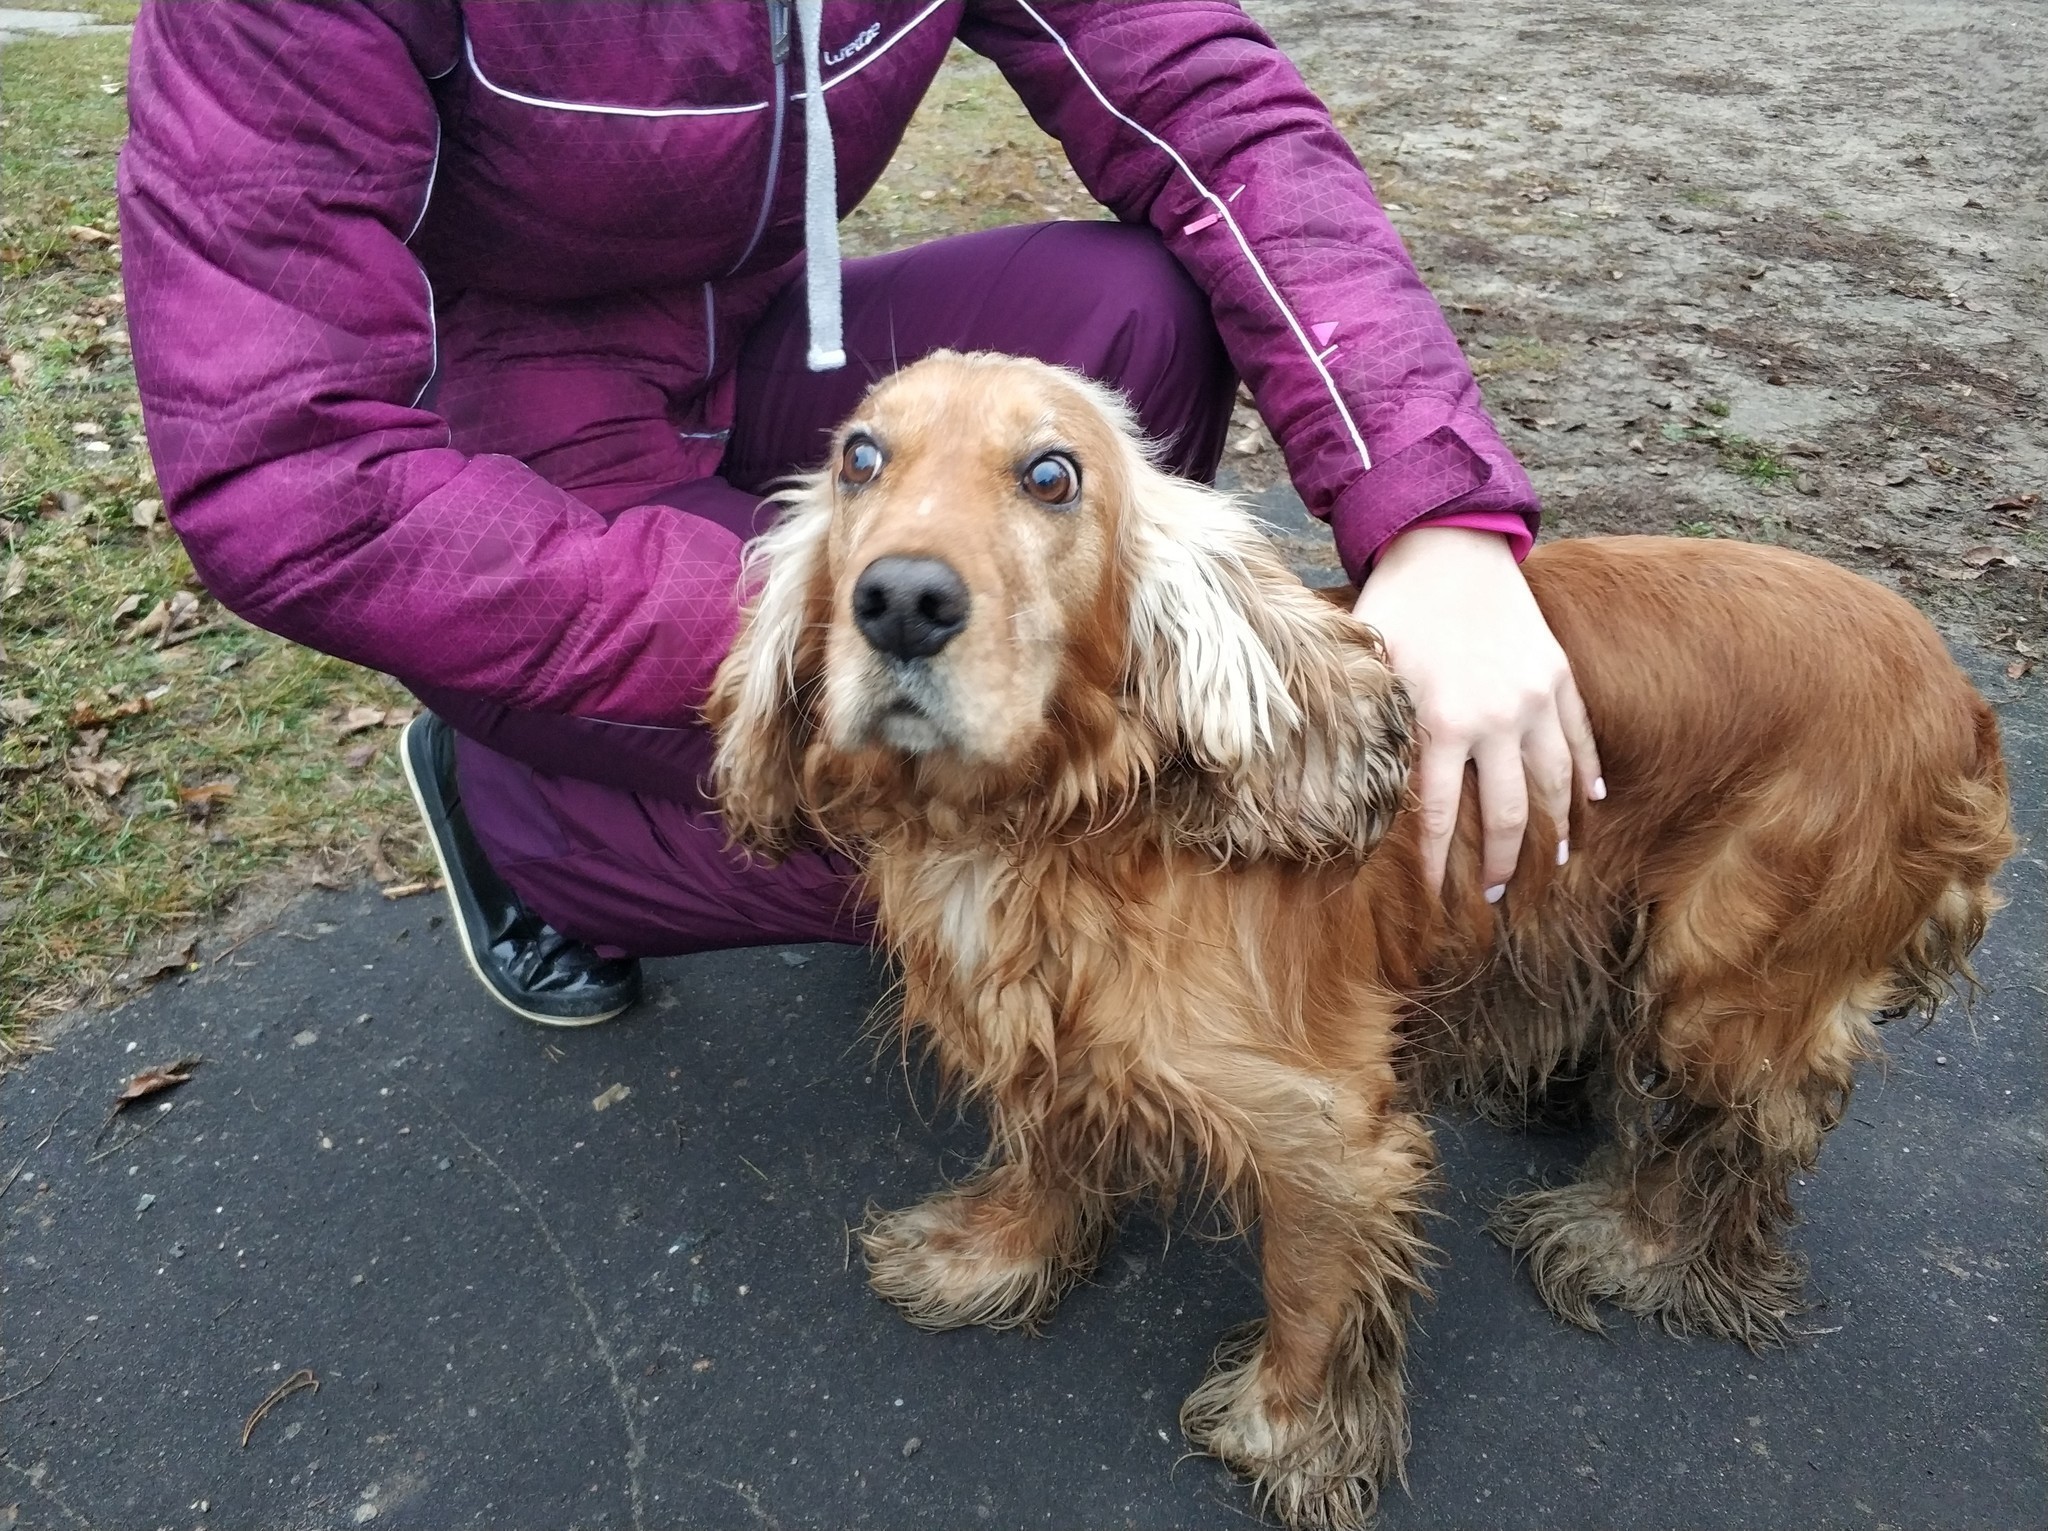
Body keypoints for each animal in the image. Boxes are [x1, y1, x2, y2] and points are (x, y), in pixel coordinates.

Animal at [700, 350, 1998, 1531]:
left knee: (1724, 1141)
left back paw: (1626, 1247)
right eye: (859, 458)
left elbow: (1309, 1284)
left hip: (1729, 982)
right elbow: (1042, 1149)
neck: (1048, 833)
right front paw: (995, 1257)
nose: (899, 601)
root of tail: (1956, 684)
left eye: (1052, 474)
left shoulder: (1321, 1128)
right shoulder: (1045, 1040)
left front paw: (1287, 1434)